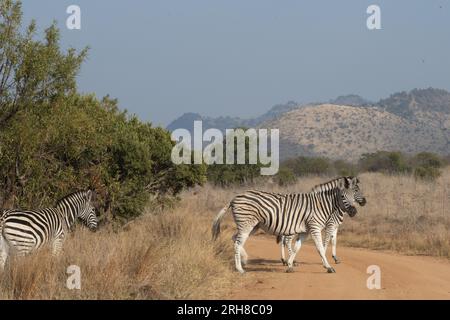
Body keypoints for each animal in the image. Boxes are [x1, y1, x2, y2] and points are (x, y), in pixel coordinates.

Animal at [212, 176, 366, 274]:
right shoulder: (316, 227)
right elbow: (321, 247)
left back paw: (244, 260)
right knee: (238, 243)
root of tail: (234, 198)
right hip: (247, 223)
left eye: (354, 194)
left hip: (253, 225)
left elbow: (297, 247)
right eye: (343, 196)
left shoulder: (305, 231)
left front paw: (290, 265)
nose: (354, 211)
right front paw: (328, 267)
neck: (321, 205)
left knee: (235, 239)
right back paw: (240, 269)